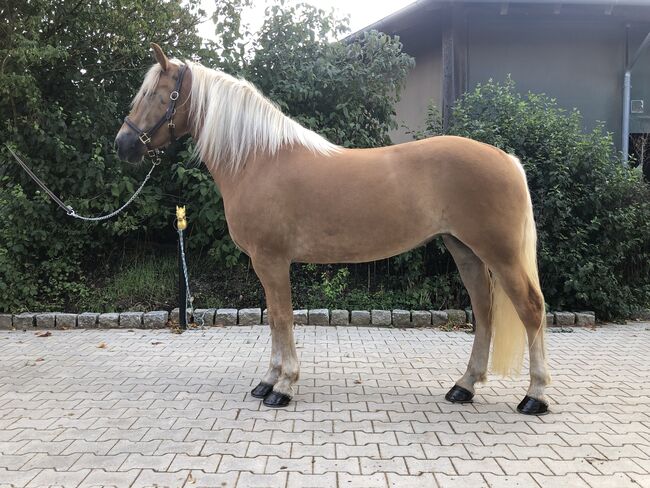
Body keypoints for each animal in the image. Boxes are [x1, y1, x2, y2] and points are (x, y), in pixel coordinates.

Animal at [115, 43, 548, 416]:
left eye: (158, 95)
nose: (123, 145)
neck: (258, 159)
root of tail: (508, 160)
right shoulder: (266, 264)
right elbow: (274, 319)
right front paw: (268, 381)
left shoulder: (272, 261)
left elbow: (282, 317)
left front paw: (283, 386)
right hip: (465, 250)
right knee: (485, 312)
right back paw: (464, 386)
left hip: (500, 254)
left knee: (530, 309)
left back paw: (535, 396)